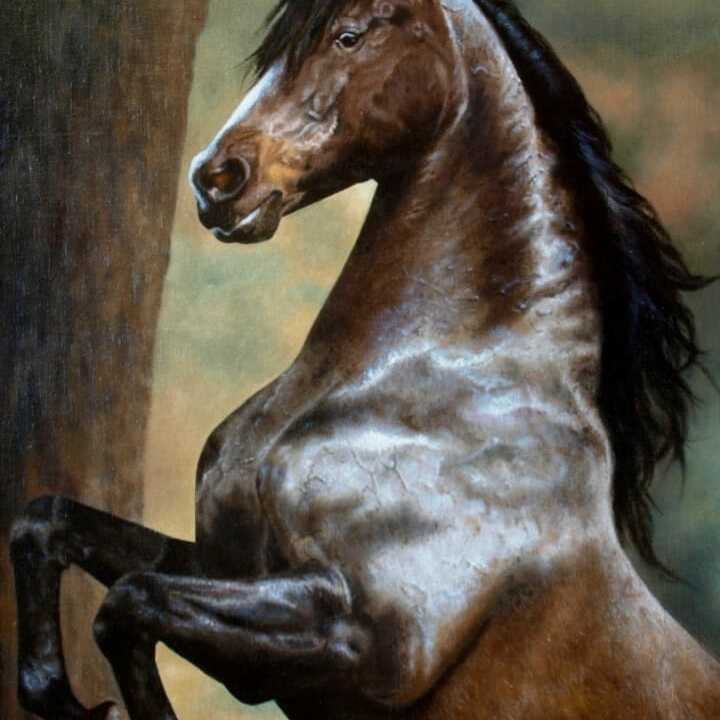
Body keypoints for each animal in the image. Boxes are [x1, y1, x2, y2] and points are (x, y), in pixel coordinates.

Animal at [10, 0, 720, 718]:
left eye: (349, 36)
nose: (216, 179)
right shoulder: (225, 568)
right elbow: (44, 523)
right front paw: (60, 694)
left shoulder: (368, 642)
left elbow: (129, 600)